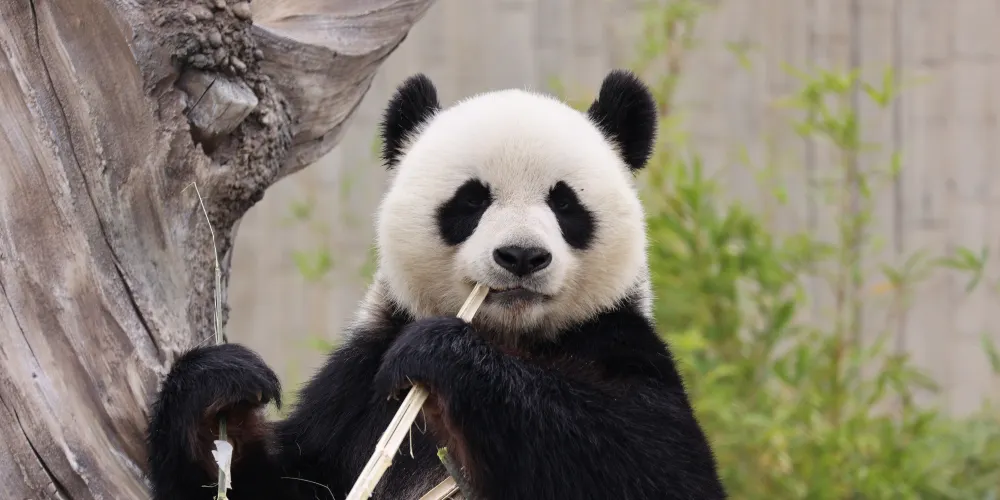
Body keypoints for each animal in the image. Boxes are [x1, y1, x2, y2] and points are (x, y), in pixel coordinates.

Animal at [146, 69, 727, 500]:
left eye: (565, 204)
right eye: (471, 200)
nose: (521, 256)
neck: (508, 335)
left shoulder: (618, 343)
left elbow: (654, 468)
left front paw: (443, 355)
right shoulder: (357, 386)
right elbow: (285, 479)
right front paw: (220, 389)